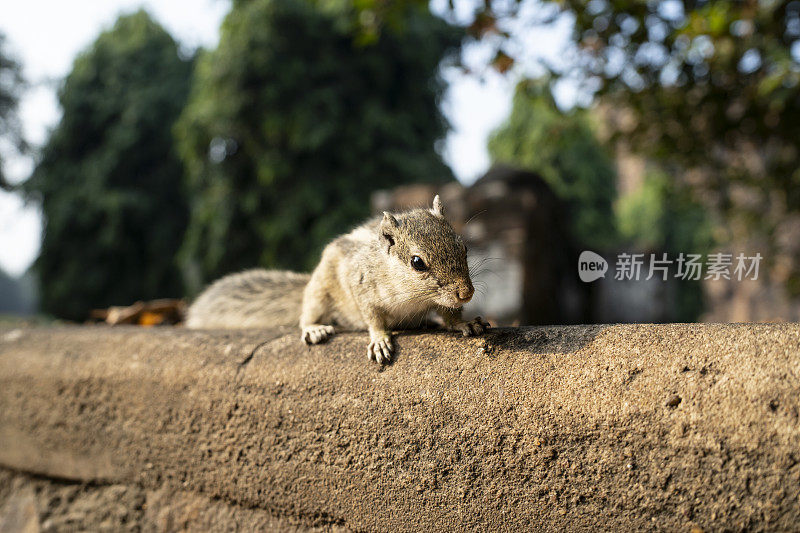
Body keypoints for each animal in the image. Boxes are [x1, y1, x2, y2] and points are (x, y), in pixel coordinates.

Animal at [187, 193, 488, 364]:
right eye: (417, 263)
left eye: (464, 248)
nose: (466, 293)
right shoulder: (362, 287)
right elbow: (373, 317)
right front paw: (380, 339)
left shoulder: (440, 301)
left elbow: (449, 313)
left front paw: (463, 323)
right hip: (318, 293)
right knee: (306, 316)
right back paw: (314, 329)